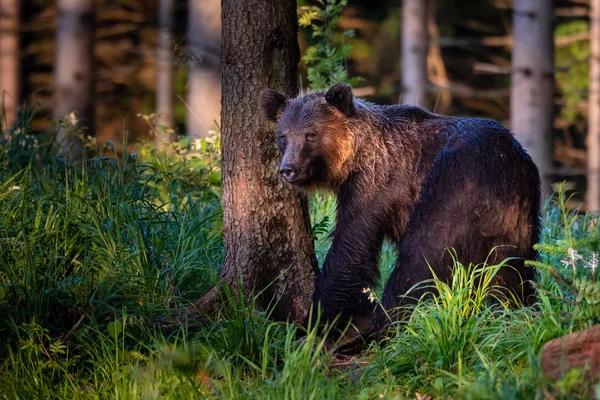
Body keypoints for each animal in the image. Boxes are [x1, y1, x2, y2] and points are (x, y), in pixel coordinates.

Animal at [258, 83, 540, 340]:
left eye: (311, 134)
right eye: (283, 136)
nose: (288, 169)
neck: (354, 157)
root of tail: (509, 160)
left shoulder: (376, 184)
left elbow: (350, 248)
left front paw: (314, 323)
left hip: (455, 184)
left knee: (422, 258)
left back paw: (383, 327)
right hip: (518, 217)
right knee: (512, 272)